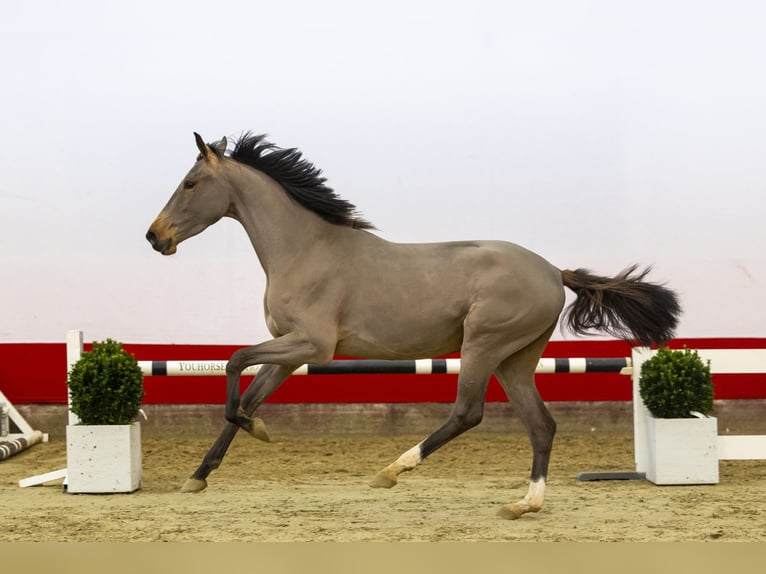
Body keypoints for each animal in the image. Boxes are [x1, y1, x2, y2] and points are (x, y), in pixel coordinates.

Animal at [147, 133, 680, 520]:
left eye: (190, 182)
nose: (155, 237)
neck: (304, 250)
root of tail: (553, 271)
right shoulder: (288, 351)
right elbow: (246, 393)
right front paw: (199, 475)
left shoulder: (311, 347)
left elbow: (234, 364)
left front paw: (258, 431)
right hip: (515, 360)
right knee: (541, 424)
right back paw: (524, 504)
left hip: (483, 346)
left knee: (468, 413)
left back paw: (390, 471)